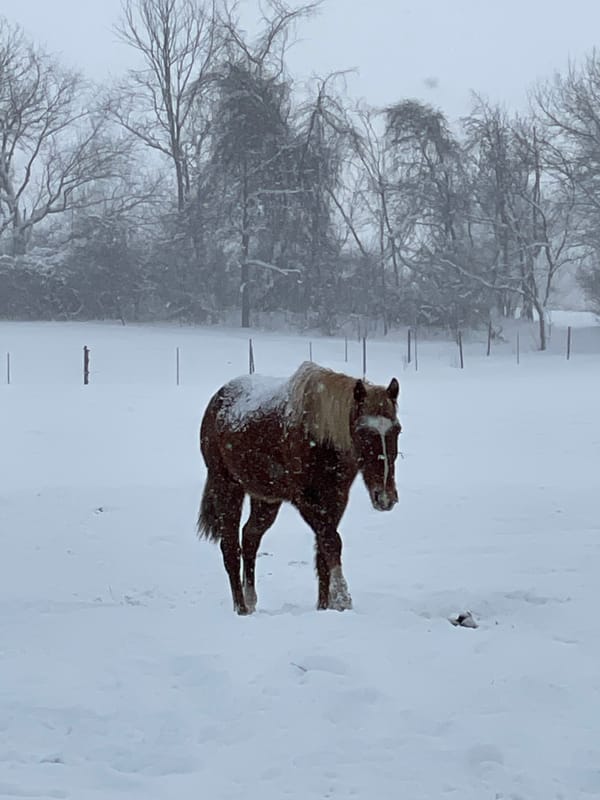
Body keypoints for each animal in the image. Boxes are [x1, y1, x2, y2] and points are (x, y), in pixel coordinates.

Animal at [197, 361, 401, 615]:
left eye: (397, 429)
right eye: (363, 432)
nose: (385, 498)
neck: (320, 437)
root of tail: (216, 400)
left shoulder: (336, 499)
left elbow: (323, 550)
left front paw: (324, 606)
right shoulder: (304, 499)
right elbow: (331, 541)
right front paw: (342, 598)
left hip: (266, 499)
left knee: (250, 538)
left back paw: (250, 600)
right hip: (227, 487)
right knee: (231, 548)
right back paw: (241, 608)